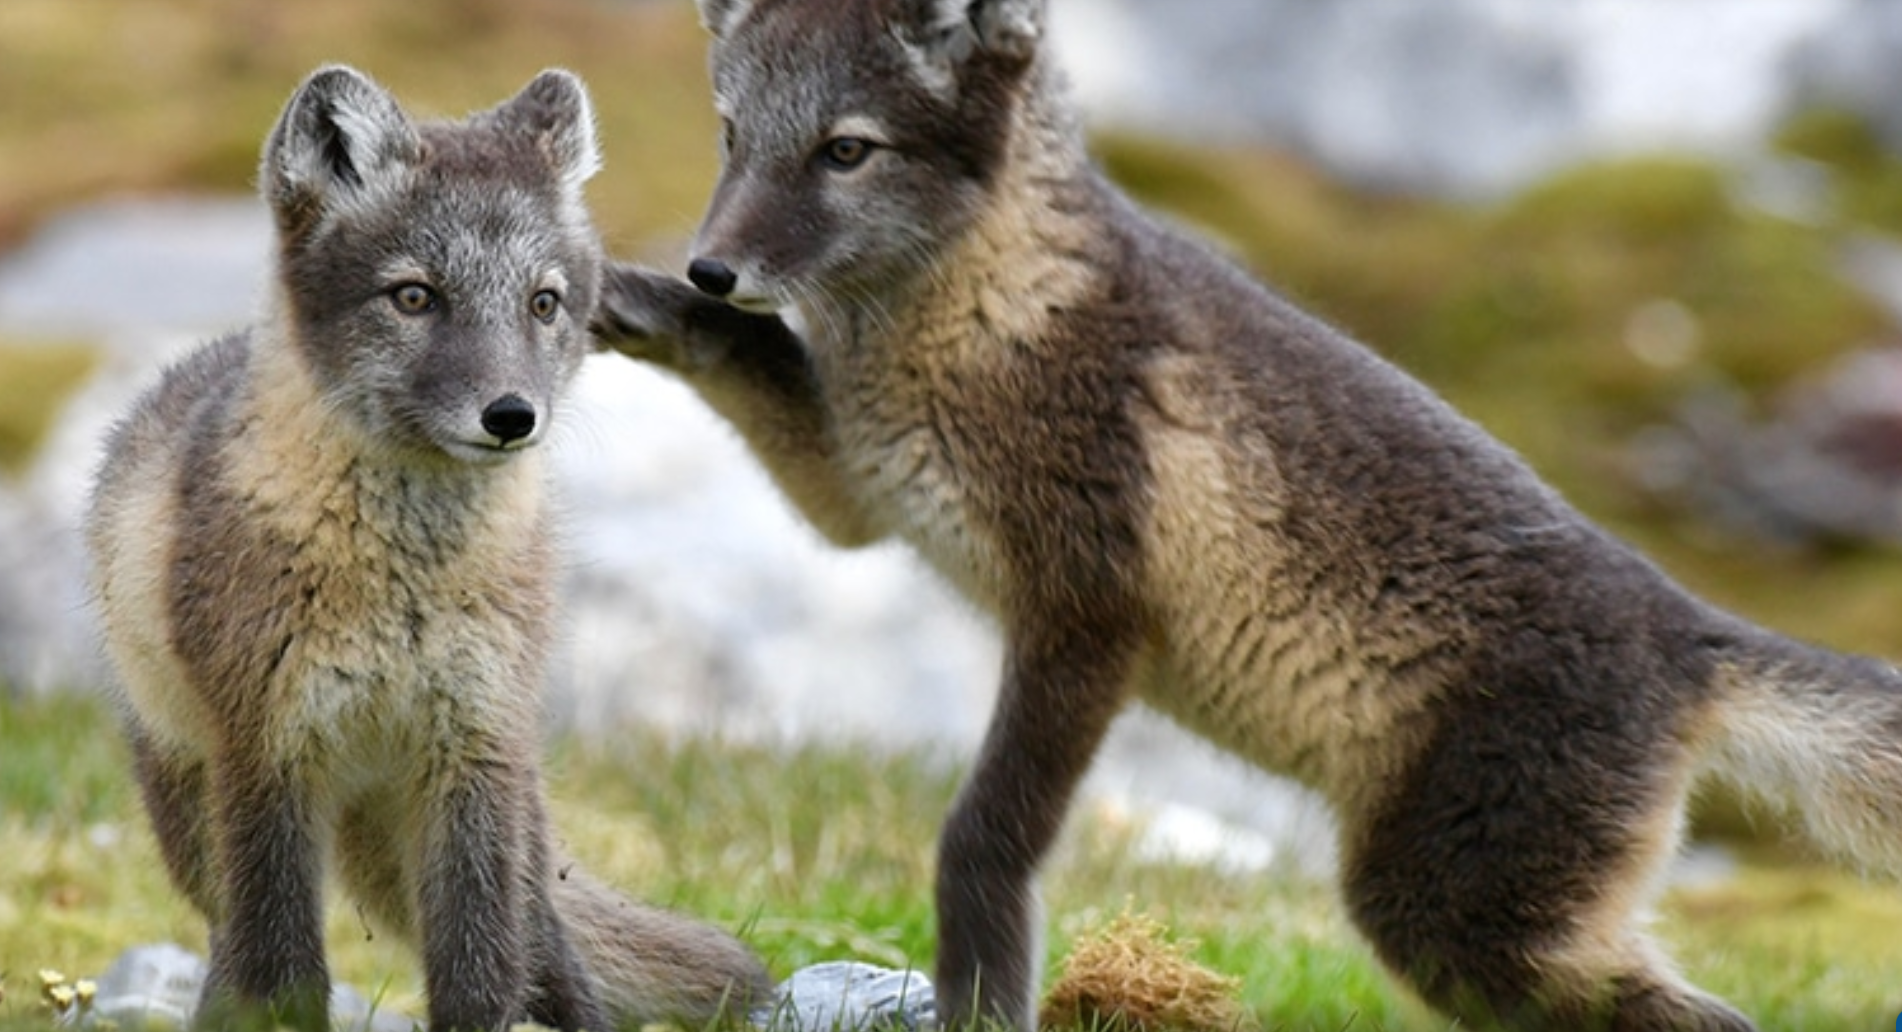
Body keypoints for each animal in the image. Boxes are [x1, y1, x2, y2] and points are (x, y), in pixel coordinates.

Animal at [81, 66, 764, 1032]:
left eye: (543, 303)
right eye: (414, 296)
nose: (512, 415)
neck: (405, 584)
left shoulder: (472, 749)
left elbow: (481, 969)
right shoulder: (270, 754)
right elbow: (281, 970)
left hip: (498, 823)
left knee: (552, 956)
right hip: (201, 818)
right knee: (229, 942)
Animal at [593, 2, 1902, 1032]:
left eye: (846, 150)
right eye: (732, 134)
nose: (711, 266)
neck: (981, 322)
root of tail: (1689, 632)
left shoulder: (1087, 610)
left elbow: (981, 840)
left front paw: (980, 1001)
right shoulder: (863, 503)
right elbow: (754, 355)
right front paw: (631, 301)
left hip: (1454, 908)